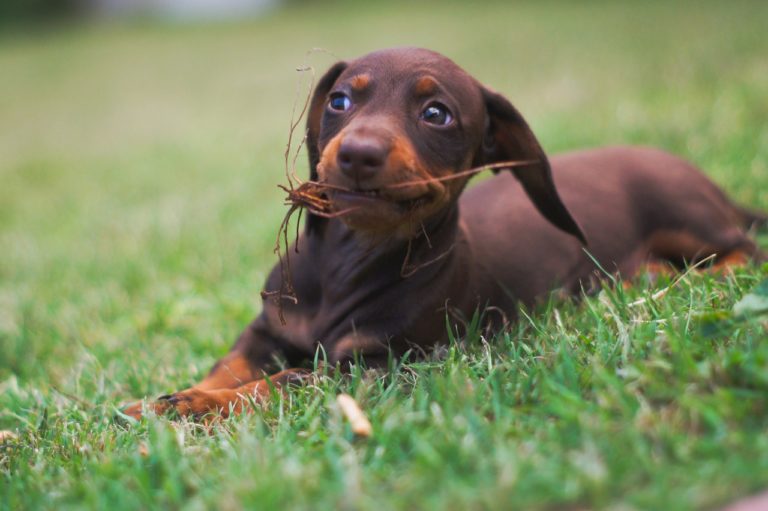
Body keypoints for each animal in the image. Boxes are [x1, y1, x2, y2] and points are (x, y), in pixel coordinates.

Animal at [121, 47, 760, 420]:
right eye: (340, 100)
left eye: (437, 114)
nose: (356, 154)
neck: (344, 263)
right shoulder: (264, 330)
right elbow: (232, 365)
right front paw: (176, 395)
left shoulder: (374, 365)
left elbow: (280, 381)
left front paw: (197, 404)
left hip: (691, 220)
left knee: (746, 250)